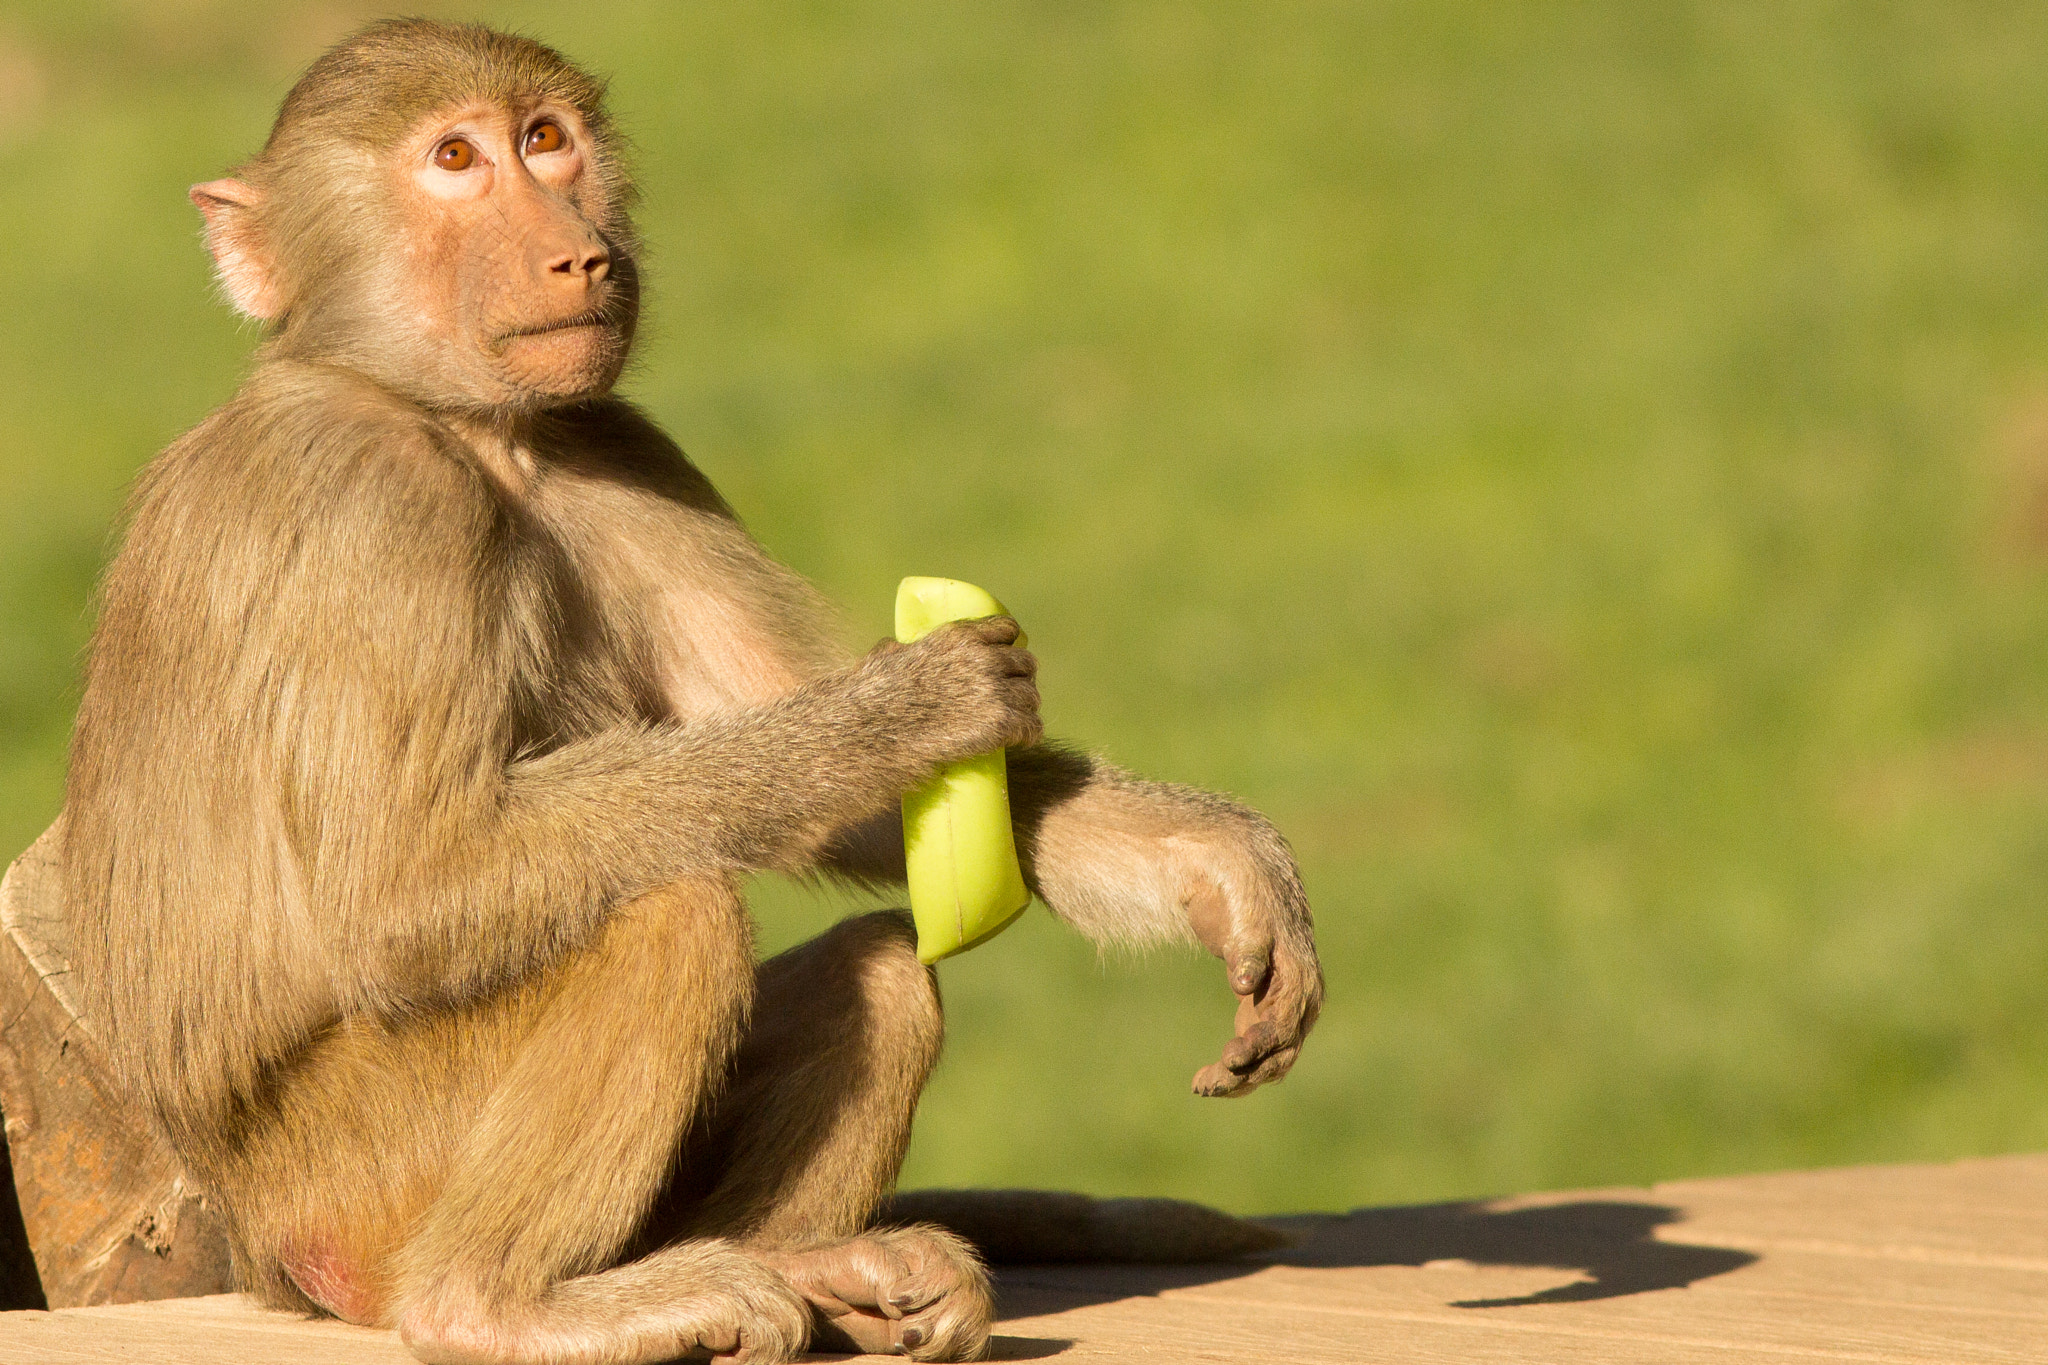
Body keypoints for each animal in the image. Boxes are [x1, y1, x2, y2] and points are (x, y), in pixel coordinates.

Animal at [61, 19, 1322, 1365]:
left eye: (545, 139)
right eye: (453, 160)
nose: (577, 249)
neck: (463, 427)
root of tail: (262, 1253)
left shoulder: (623, 452)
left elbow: (849, 817)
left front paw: (1209, 859)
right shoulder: (374, 500)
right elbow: (407, 889)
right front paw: (912, 705)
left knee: (880, 975)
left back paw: (816, 1271)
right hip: (361, 1169)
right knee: (666, 913)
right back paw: (493, 1306)